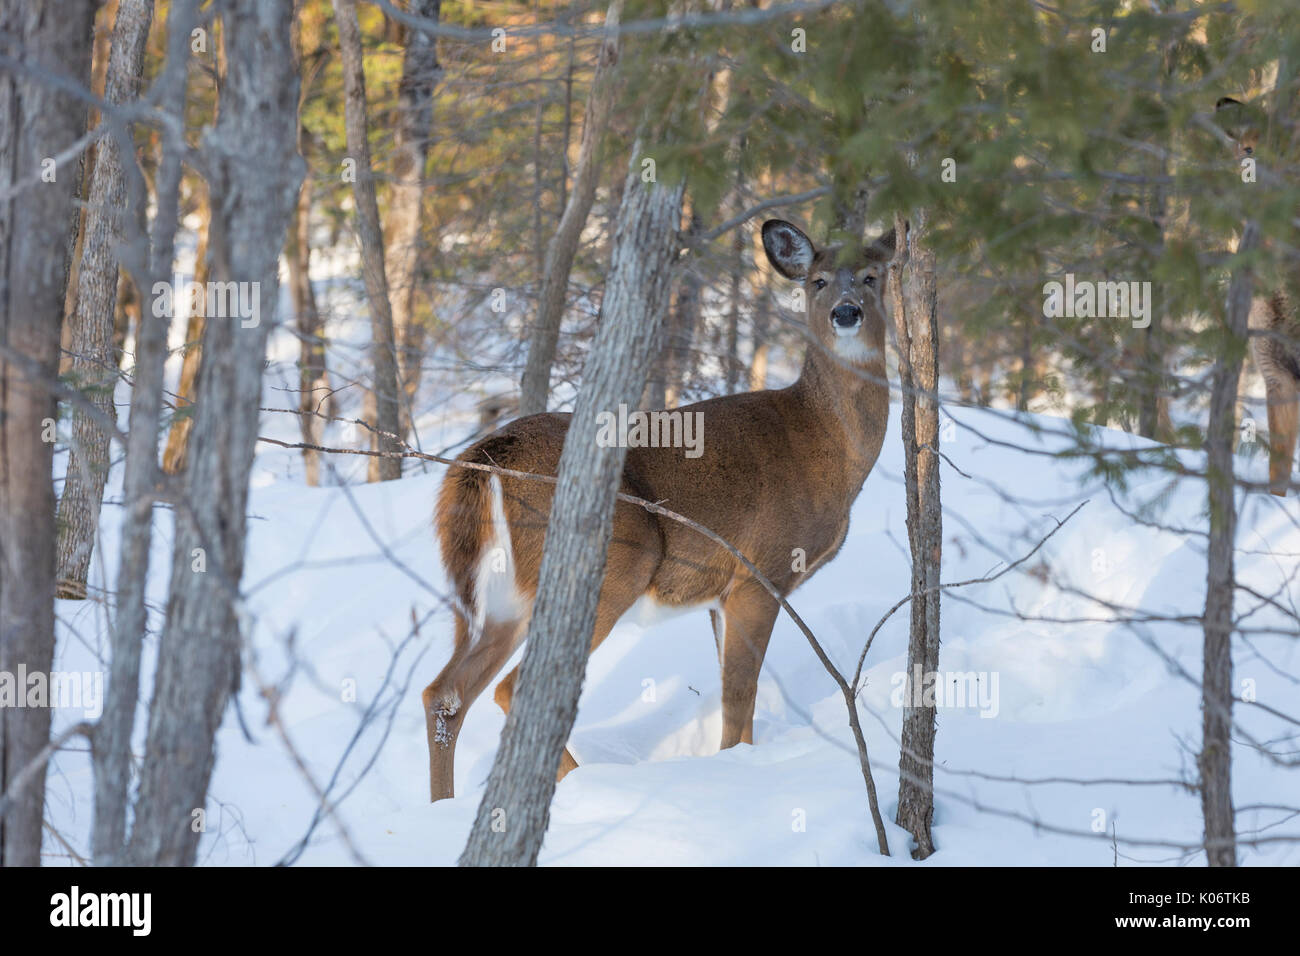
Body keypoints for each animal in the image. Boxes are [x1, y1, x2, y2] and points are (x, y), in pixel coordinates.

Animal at [422, 219, 897, 800]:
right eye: (818, 281)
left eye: (872, 275)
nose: (846, 313)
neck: (823, 444)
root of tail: (488, 458)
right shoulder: (758, 572)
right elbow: (739, 697)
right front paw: (734, 771)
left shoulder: (719, 595)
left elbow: (734, 695)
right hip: (615, 566)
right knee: (509, 690)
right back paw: (587, 786)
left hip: (498, 600)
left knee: (445, 693)